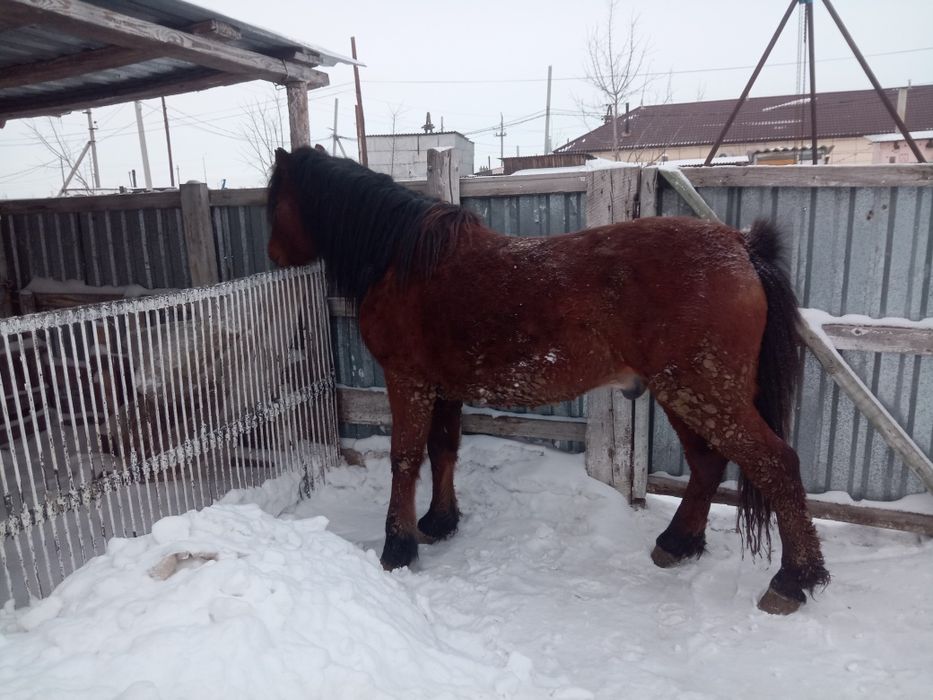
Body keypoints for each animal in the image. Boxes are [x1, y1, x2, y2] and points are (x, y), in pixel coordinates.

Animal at [266, 146, 829, 615]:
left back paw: (792, 580)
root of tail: (741, 246)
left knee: (777, 464)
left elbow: (405, 460)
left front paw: (397, 548)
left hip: (705, 394)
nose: (272, 254)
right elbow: (443, 451)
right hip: (683, 394)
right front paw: (438, 524)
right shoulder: (443, 389)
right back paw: (678, 543)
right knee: (708, 464)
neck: (405, 260)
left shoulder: (408, 381)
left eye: (275, 199)